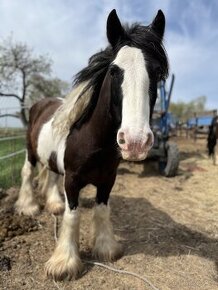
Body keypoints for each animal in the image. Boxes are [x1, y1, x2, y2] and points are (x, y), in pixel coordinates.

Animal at [15, 9, 169, 280]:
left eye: (158, 73)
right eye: (114, 71)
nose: (135, 141)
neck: (92, 140)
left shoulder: (108, 180)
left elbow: (102, 210)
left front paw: (106, 248)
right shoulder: (72, 181)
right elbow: (73, 215)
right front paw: (65, 263)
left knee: (51, 176)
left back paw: (54, 204)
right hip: (30, 151)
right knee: (26, 173)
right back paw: (28, 207)